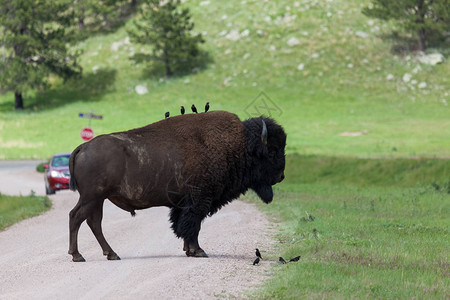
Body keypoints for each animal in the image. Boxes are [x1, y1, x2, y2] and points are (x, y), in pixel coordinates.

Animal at [67, 110, 284, 262]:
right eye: (272, 151)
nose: (281, 176)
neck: (238, 145)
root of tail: (83, 147)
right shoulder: (199, 200)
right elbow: (192, 225)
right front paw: (198, 251)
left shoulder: (184, 203)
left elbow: (184, 225)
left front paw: (189, 250)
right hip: (92, 198)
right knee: (77, 217)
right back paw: (78, 255)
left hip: (97, 200)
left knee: (93, 222)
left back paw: (111, 254)